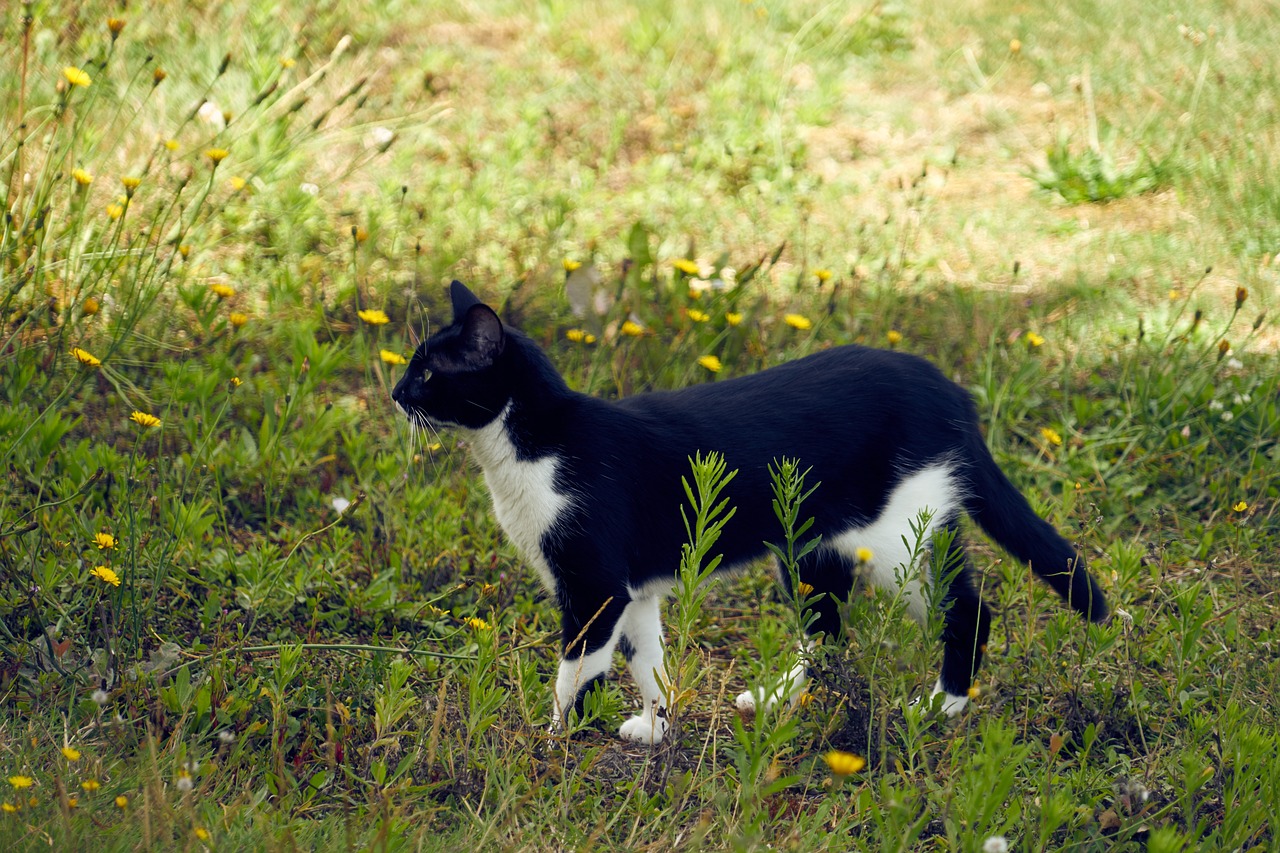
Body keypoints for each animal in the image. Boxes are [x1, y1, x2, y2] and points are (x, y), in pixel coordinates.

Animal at [391, 281, 1111, 742]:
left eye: (429, 373)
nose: (395, 392)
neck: (533, 447)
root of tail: (949, 389)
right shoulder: (634, 590)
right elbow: (647, 660)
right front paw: (655, 727)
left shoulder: (593, 585)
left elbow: (577, 672)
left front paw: (555, 739)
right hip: (818, 546)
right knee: (827, 624)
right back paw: (777, 697)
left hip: (896, 539)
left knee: (967, 610)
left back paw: (941, 707)